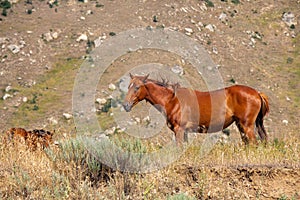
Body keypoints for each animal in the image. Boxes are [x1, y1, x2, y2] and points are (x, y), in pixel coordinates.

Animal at [122, 74, 270, 145]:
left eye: (137, 87)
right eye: (128, 86)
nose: (125, 105)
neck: (172, 100)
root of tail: (257, 93)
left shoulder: (179, 130)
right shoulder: (184, 132)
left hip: (247, 126)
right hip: (241, 126)